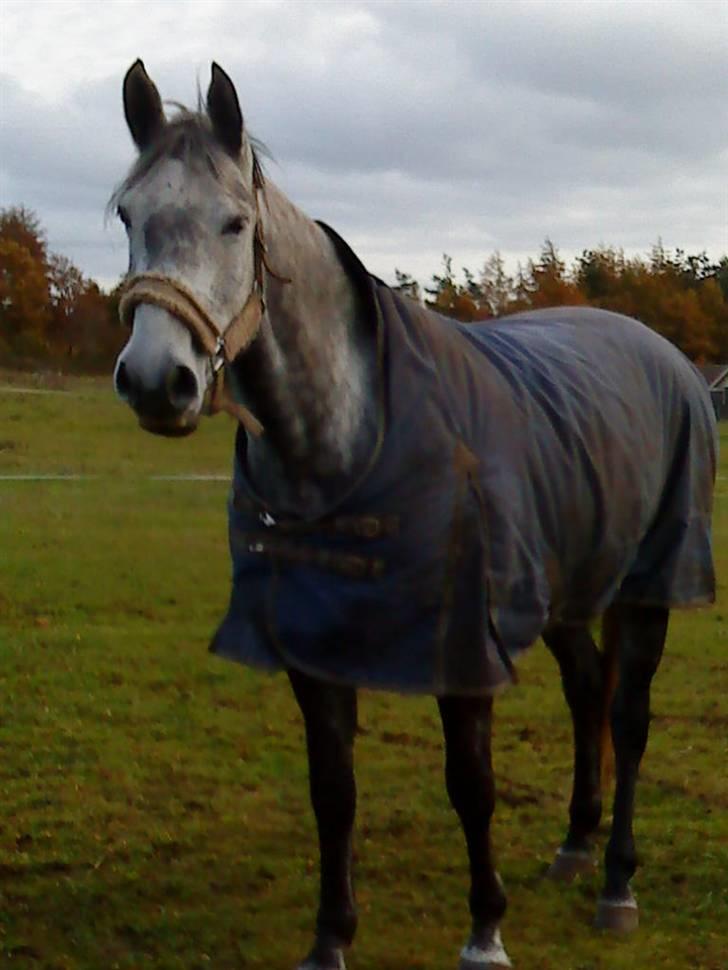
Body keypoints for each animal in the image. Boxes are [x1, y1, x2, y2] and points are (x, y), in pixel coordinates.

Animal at [112, 62, 716, 968]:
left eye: (235, 223)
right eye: (128, 214)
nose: (157, 381)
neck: (348, 442)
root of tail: (662, 354)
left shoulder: (460, 646)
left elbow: (472, 785)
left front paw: (485, 932)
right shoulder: (312, 645)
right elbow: (333, 791)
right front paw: (330, 938)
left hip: (648, 589)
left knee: (629, 719)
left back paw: (616, 883)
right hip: (567, 595)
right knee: (586, 694)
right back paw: (575, 846)